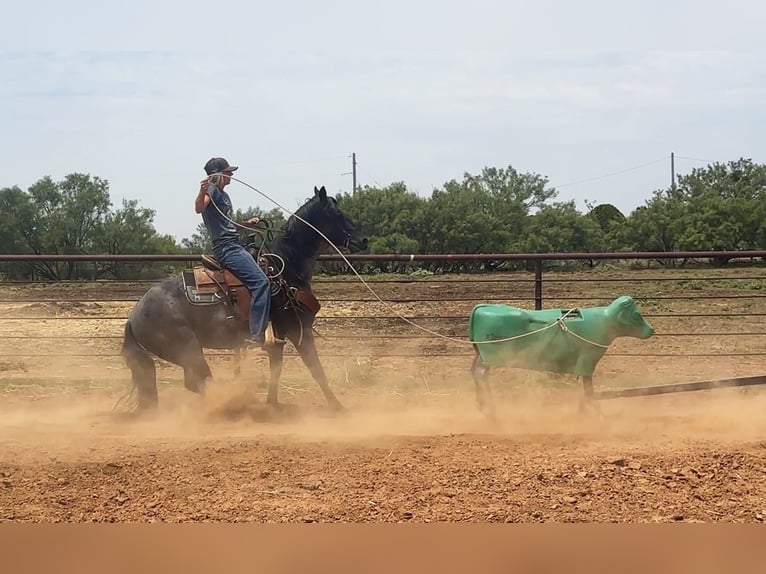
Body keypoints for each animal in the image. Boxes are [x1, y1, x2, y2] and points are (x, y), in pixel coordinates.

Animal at [120, 187, 368, 416]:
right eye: (336, 213)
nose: (363, 239)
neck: (285, 269)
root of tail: (134, 316)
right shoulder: (299, 330)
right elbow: (316, 369)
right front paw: (338, 407)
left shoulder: (277, 338)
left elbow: (276, 370)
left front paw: (273, 404)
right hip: (188, 350)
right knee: (197, 381)